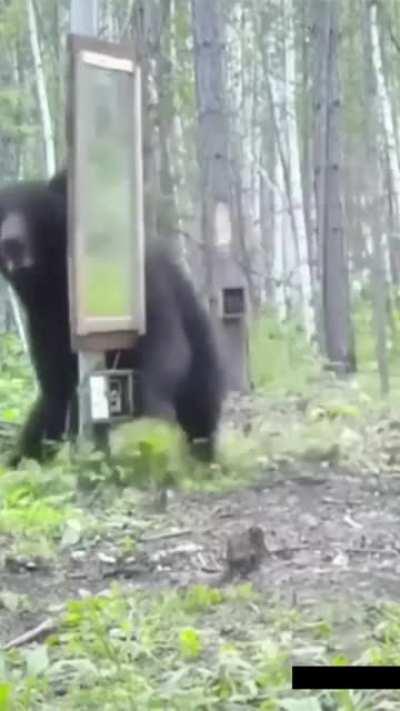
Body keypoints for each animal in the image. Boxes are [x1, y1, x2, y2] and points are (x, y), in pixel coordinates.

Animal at [0, 170, 224, 466]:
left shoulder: (143, 287)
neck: (59, 281)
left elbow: (164, 346)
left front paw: (152, 422)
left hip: (203, 359)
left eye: (32, 210)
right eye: (1, 213)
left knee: (200, 411)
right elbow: (57, 382)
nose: (10, 242)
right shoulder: (44, 318)